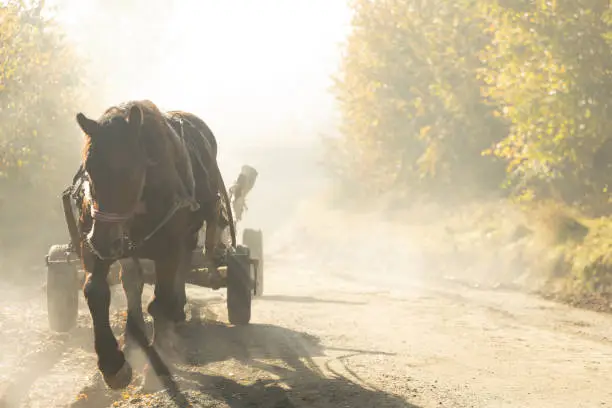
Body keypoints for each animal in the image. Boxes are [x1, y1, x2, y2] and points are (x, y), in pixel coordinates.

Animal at [74, 99, 237, 388]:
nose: (103, 241)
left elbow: (161, 298)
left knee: (180, 270)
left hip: (189, 232)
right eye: (89, 169)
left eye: (130, 170)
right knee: (133, 282)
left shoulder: (168, 247)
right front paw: (112, 363)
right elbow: (96, 291)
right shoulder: (94, 241)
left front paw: (157, 366)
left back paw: (175, 314)